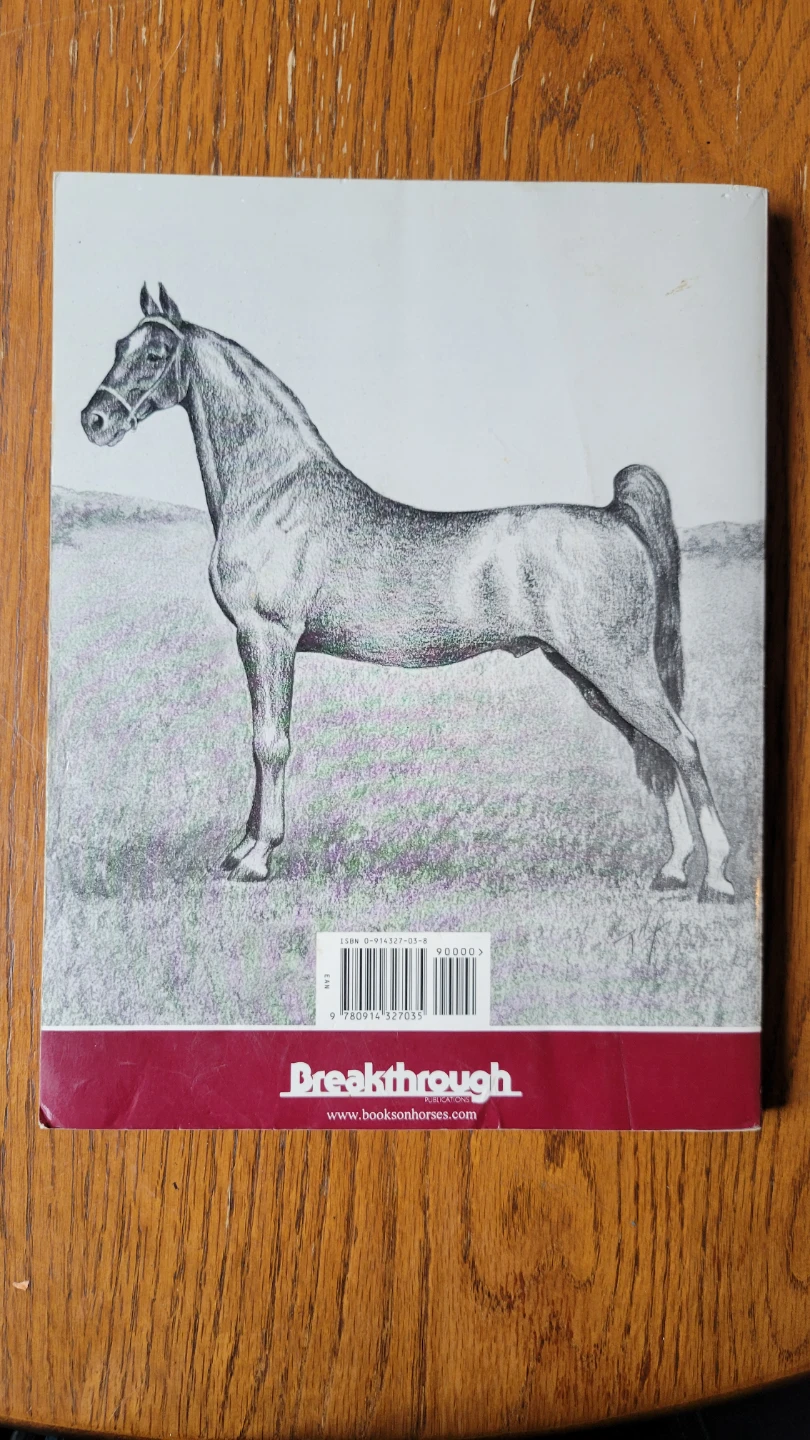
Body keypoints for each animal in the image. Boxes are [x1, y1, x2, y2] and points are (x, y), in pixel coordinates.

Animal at [80, 283, 734, 901]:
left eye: (156, 353)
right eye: (118, 346)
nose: (95, 421)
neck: (276, 492)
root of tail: (617, 514)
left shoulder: (267, 636)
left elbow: (271, 743)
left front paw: (257, 857)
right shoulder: (261, 641)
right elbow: (260, 740)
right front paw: (239, 849)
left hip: (617, 668)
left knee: (682, 743)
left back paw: (717, 878)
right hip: (590, 676)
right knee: (654, 750)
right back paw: (672, 870)